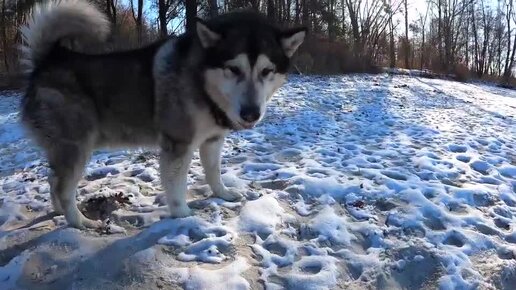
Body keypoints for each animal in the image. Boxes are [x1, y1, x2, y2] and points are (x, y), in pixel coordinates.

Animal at [20, 0, 306, 229]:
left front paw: (222, 193)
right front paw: (183, 215)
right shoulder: (178, 145)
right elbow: (176, 186)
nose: (250, 114)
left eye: (267, 71)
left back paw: (59, 211)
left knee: (52, 179)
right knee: (63, 187)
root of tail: (50, 58)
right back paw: (79, 222)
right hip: (78, 147)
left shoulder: (213, 140)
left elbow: (213, 172)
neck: (202, 84)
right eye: (233, 69)